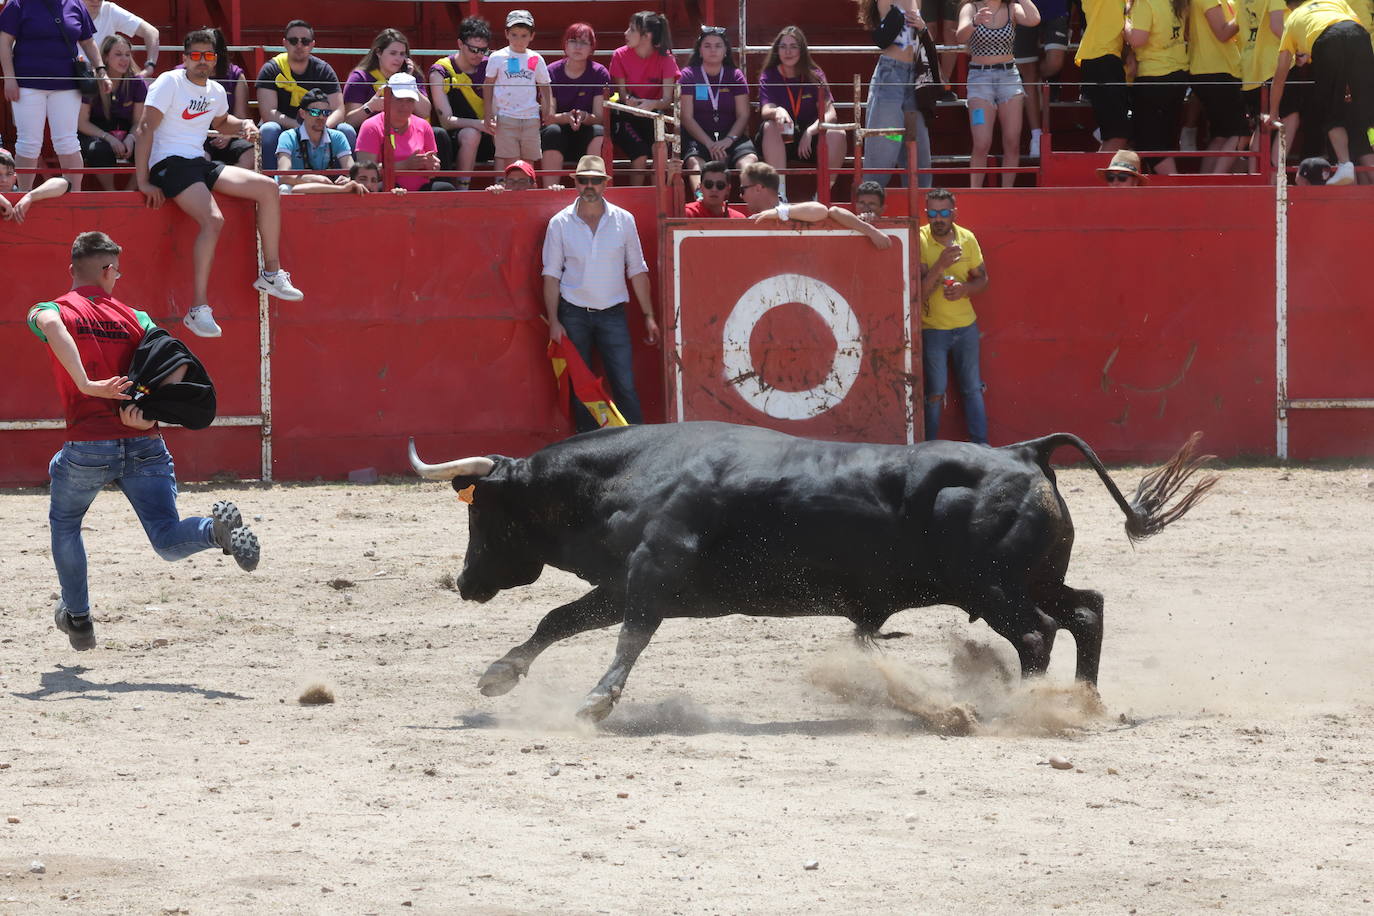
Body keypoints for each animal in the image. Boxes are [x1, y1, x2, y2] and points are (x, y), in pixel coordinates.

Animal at [406, 422, 1214, 725]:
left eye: (483, 514)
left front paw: (598, 702)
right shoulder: (635, 583)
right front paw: (499, 676)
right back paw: (1084, 701)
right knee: (1086, 610)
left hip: (998, 590)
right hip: (1032, 579)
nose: (467, 583)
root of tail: (1024, 450)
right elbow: (561, 618)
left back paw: (1024, 705)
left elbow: (625, 636)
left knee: (1041, 633)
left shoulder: (653, 578)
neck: (628, 476)